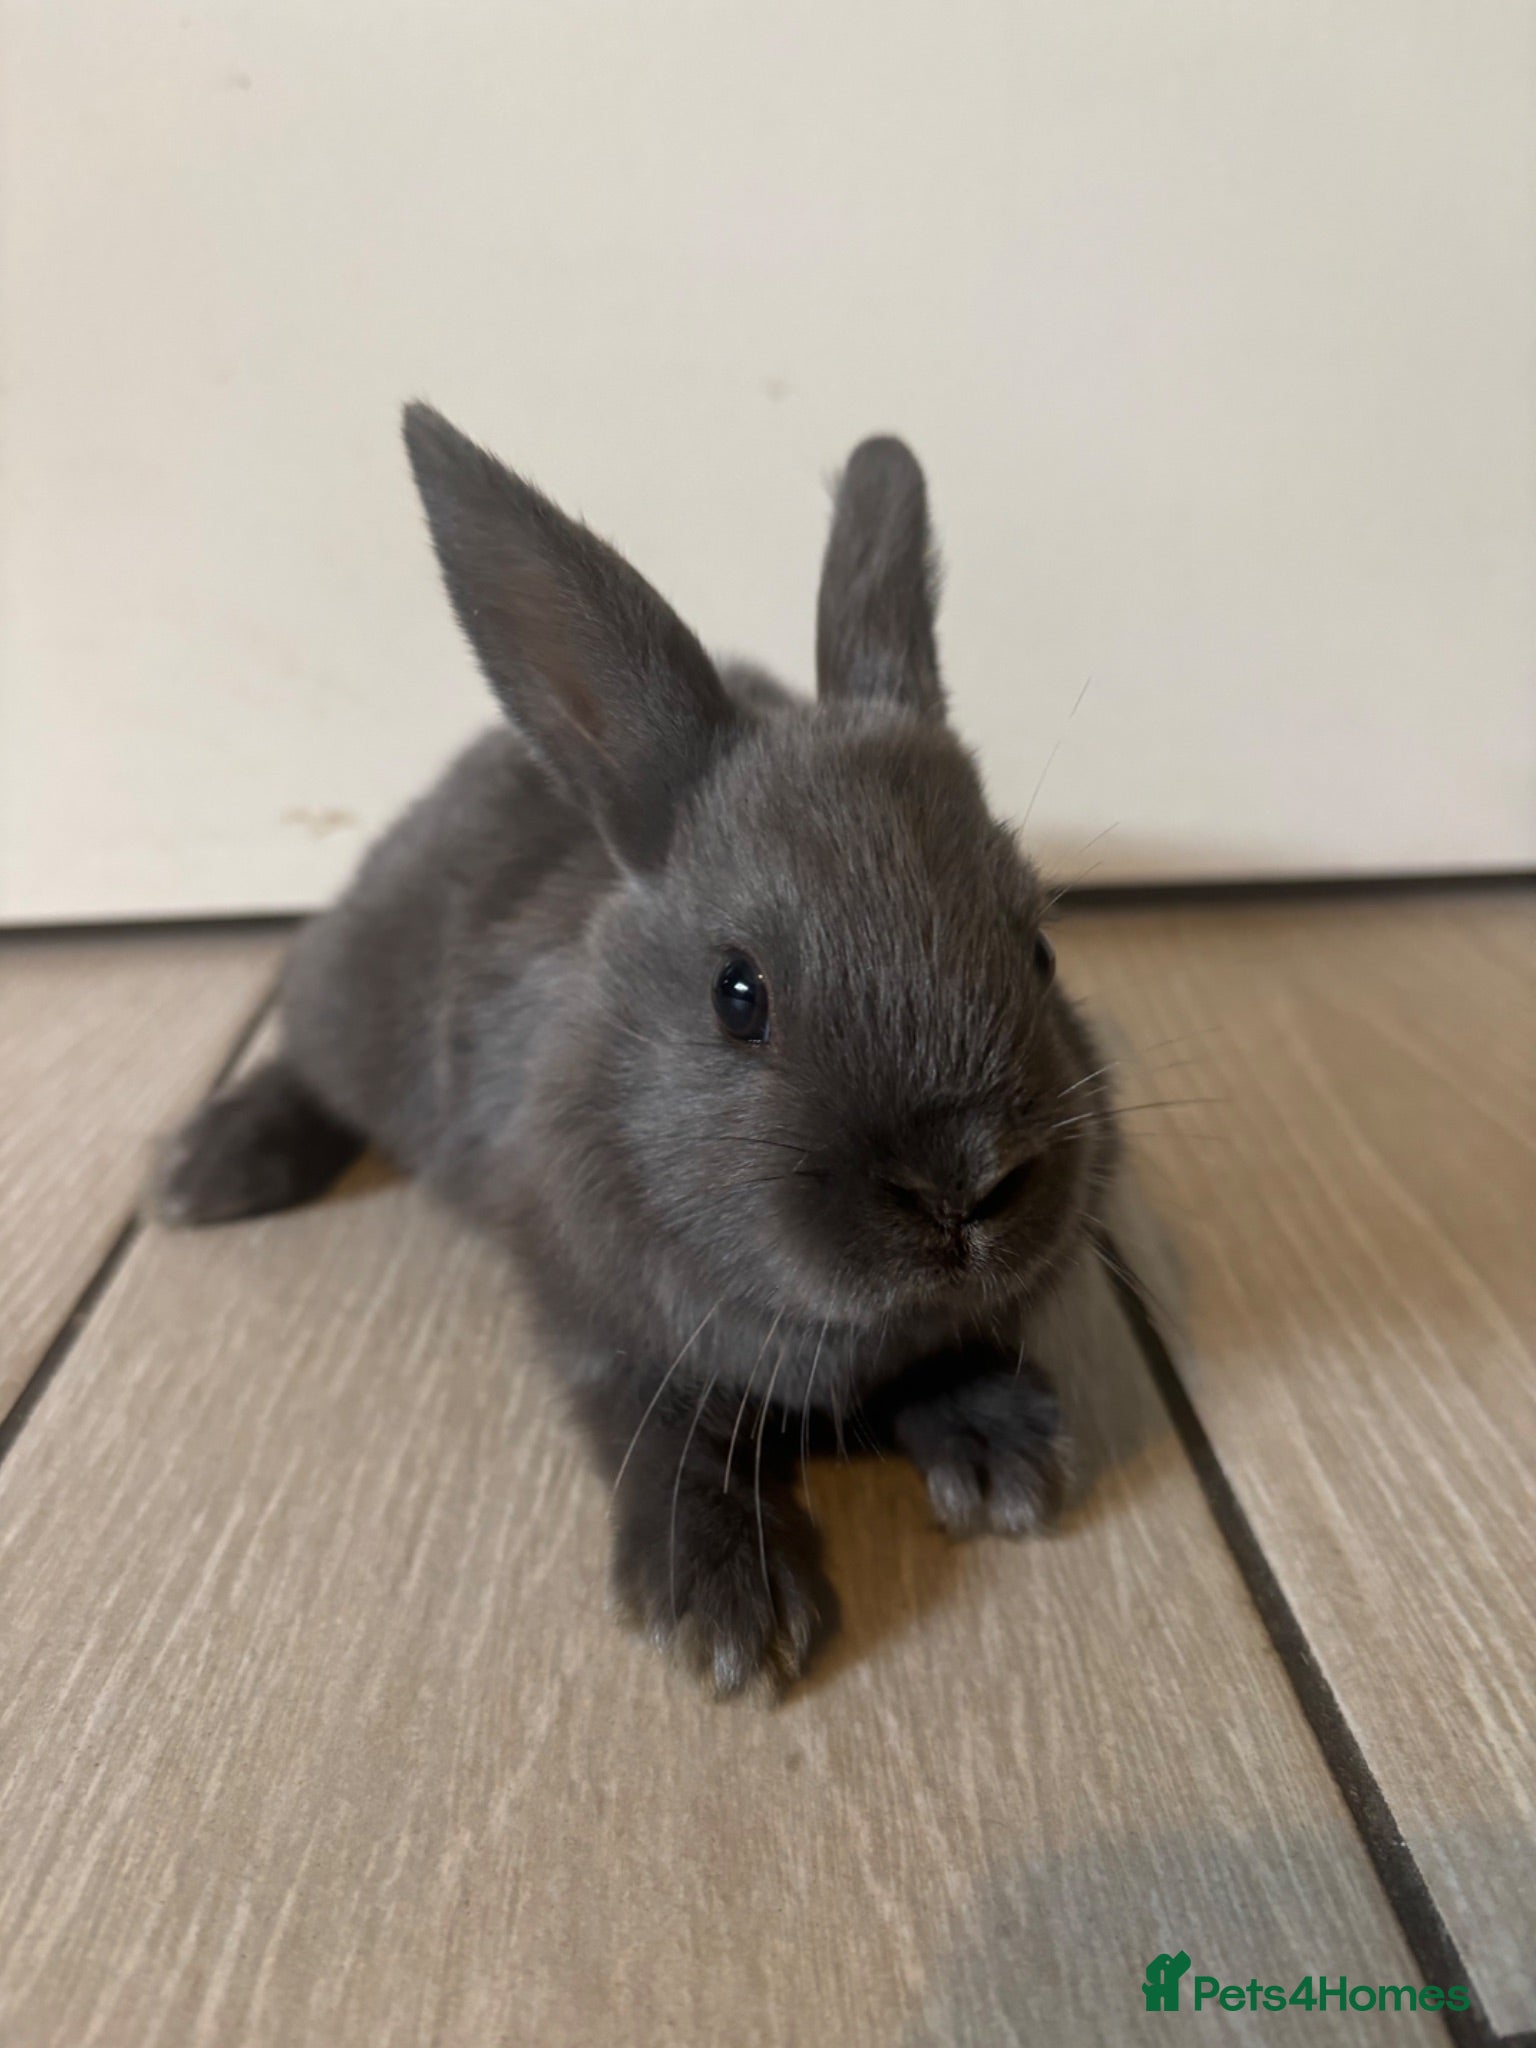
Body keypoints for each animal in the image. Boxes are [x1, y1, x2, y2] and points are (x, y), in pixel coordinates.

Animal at [153, 404, 1119, 1698]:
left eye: (1040, 947)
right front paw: (725, 1611)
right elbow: (663, 1438)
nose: (963, 1187)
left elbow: (952, 1351)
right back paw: (205, 1169)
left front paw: (1004, 1453)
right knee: (304, 1057)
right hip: (355, 1001)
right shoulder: (597, 1322)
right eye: (738, 994)